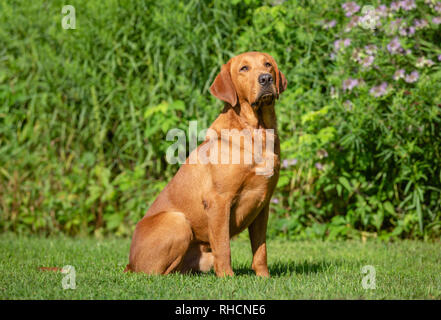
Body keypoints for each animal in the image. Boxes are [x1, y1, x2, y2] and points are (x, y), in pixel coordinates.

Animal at [125, 51, 288, 276]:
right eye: (244, 68)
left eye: (268, 64)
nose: (266, 79)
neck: (258, 131)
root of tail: (129, 264)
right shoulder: (218, 200)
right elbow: (223, 246)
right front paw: (227, 277)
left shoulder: (262, 204)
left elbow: (260, 250)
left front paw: (264, 277)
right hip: (178, 221)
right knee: (158, 273)